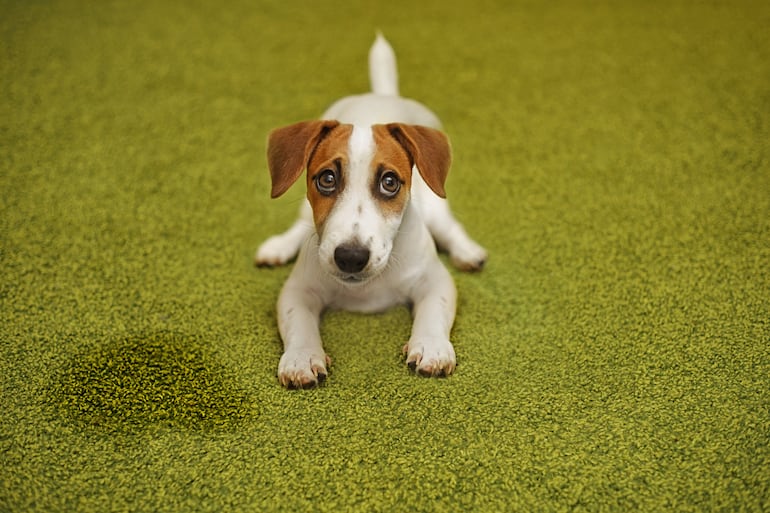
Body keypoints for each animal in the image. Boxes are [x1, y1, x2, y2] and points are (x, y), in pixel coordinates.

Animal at [258, 35, 486, 388]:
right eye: (326, 179)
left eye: (389, 182)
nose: (351, 257)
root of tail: (381, 94)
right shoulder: (297, 291)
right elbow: (300, 323)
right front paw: (302, 357)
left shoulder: (435, 281)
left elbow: (433, 311)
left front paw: (432, 346)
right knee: (298, 227)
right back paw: (278, 246)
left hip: (436, 208)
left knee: (450, 229)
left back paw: (468, 251)